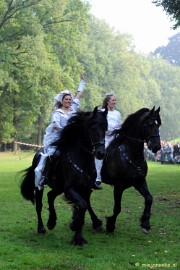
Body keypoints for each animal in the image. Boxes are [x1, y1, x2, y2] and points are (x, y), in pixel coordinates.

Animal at [19, 106, 107, 246]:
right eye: (93, 127)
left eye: (105, 128)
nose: (100, 153)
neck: (81, 159)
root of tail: (38, 153)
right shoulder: (70, 189)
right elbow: (83, 205)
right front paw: (74, 226)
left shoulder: (85, 189)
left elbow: (84, 207)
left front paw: (79, 237)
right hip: (41, 186)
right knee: (39, 205)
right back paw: (41, 228)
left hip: (59, 187)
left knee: (50, 196)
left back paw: (52, 221)